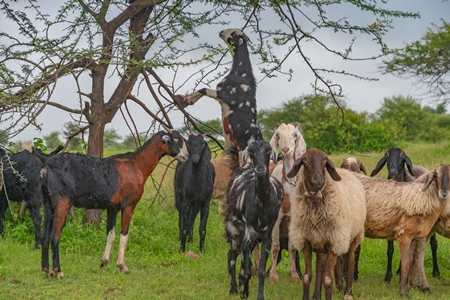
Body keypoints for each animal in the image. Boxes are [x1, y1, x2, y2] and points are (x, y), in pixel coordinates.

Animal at [26, 126, 188, 278]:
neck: (136, 165)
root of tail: (47, 162)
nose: (186, 156)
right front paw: (122, 266)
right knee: (55, 236)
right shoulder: (128, 205)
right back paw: (58, 271)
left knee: (45, 236)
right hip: (62, 202)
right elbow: (124, 235)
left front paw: (104, 262)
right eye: (175, 140)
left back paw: (46, 270)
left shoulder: (112, 208)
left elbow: (111, 234)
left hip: (48, 203)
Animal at [221, 141, 284, 300]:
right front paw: (243, 291)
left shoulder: (266, 235)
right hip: (233, 229)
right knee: (232, 254)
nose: (260, 169)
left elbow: (260, 270)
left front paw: (258, 295)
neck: (261, 204)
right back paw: (233, 288)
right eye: (251, 152)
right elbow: (247, 269)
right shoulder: (249, 233)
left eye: (268, 151)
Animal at [286, 148, 368, 300]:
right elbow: (307, 276)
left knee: (350, 261)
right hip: (320, 242)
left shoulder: (333, 243)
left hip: (353, 237)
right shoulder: (306, 242)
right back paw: (316, 294)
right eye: (305, 160)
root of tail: (347, 172)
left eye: (325, 161)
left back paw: (348, 292)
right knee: (320, 266)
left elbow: (328, 279)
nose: (319, 180)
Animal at [370, 148, 436, 284]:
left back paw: (436, 272)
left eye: (402, 155)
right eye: (387, 155)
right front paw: (388, 276)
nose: (392, 170)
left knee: (434, 244)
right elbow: (390, 250)